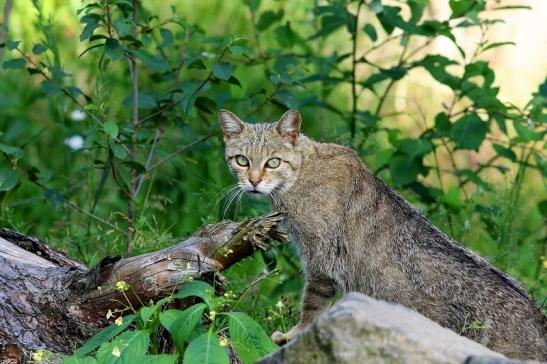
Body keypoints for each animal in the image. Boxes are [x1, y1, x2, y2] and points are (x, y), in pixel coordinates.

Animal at [216, 109, 544, 362]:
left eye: (273, 162)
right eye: (242, 160)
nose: (253, 181)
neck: (301, 174)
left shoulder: (322, 261)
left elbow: (311, 306)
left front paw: (294, 335)